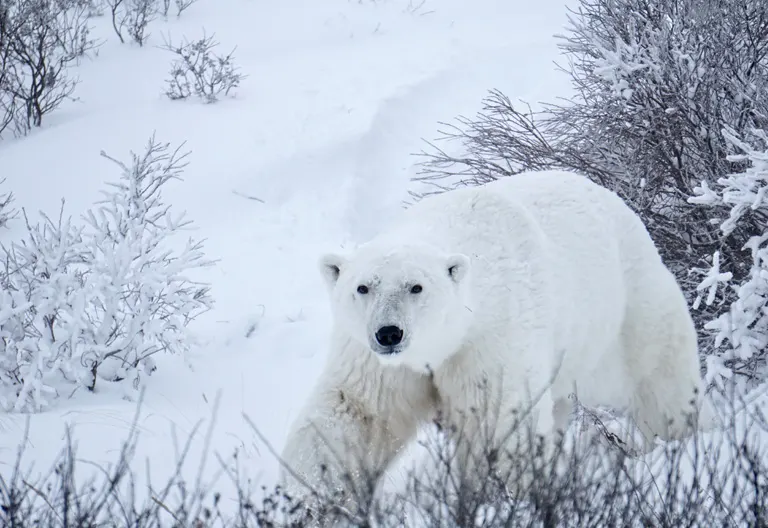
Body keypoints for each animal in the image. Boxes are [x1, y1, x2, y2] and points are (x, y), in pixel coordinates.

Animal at [279, 169, 713, 515]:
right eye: (363, 287)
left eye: (416, 286)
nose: (389, 333)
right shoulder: (377, 361)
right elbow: (356, 413)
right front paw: (309, 503)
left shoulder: (489, 339)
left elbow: (497, 422)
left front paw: (501, 500)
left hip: (621, 313)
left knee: (659, 380)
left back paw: (683, 442)